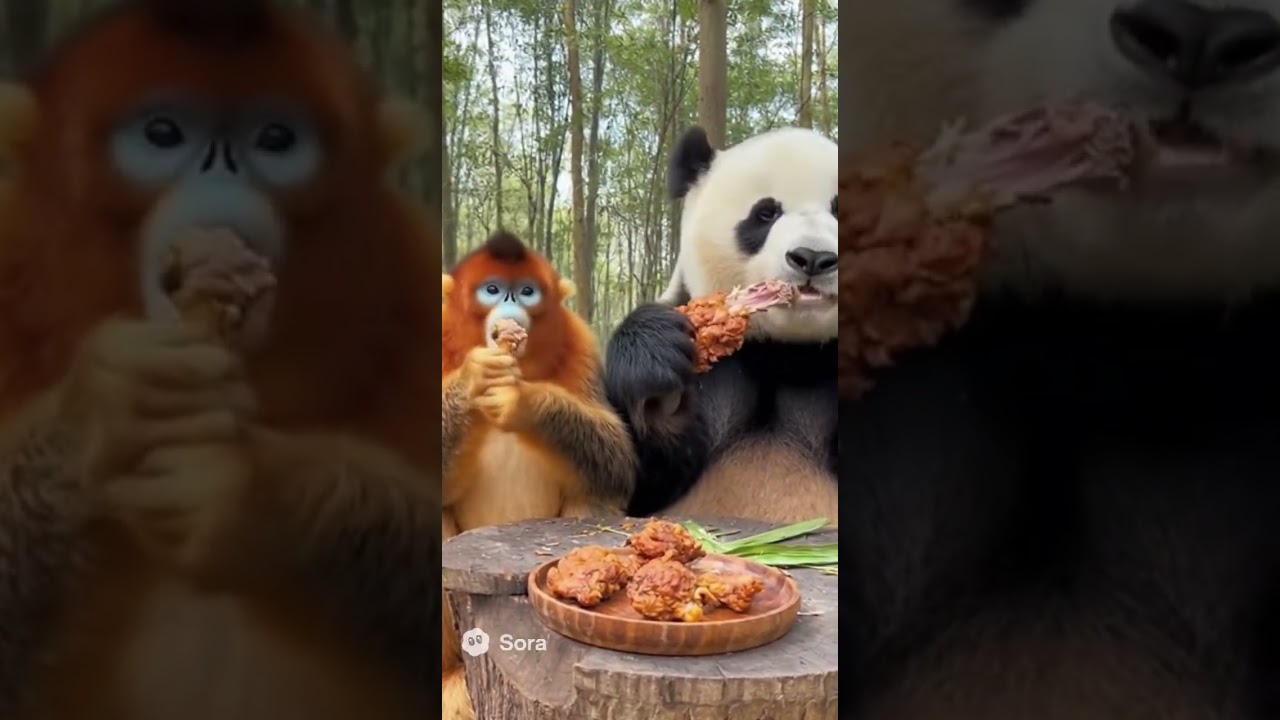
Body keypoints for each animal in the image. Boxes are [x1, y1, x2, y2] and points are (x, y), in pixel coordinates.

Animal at [0, 1, 444, 718]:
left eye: (275, 138)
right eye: (162, 133)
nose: (221, 172)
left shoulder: (415, 290)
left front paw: (255, 498)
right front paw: (104, 413)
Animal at [440, 231, 635, 719]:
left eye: (526, 291)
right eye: (492, 289)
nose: (511, 305)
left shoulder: (581, 342)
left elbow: (618, 462)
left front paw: (523, 402)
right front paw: (475, 376)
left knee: (592, 493)